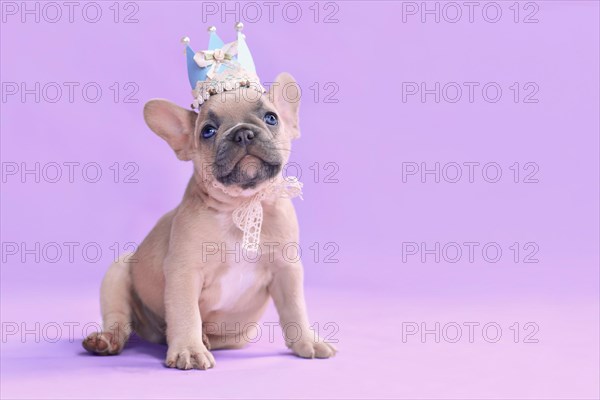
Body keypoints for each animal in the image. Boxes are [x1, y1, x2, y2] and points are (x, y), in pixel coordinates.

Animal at [83, 73, 338, 370]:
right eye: (208, 131)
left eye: (271, 118)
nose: (243, 132)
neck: (240, 205)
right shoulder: (184, 271)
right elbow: (186, 312)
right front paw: (189, 350)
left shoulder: (287, 269)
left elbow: (295, 308)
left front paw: (307, 340)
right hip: (118, 272)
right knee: (120, 321)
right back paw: (106, 340)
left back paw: (204, 338)